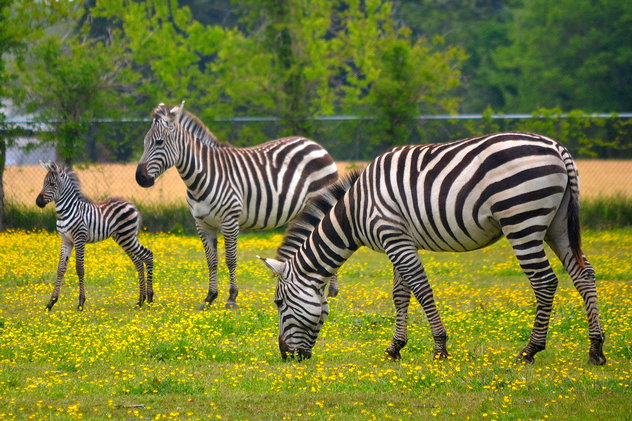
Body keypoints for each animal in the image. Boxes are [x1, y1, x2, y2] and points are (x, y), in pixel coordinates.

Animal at [35, 161, 154, 308]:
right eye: (43, 183)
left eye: (52, 184)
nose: (38, 202)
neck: (66, 211)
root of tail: (131, 205)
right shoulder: (66, 241)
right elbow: (61, 269)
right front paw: (51, 303)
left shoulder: (79, 238)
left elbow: (79, 268)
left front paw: (81, 303)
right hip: (123, 238)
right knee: (138, 262)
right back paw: (140, 301)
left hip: (127, 237)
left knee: (148, 255)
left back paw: (149, 298)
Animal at [136, 101, 338, 308]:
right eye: (144, 143)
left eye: (159, 143)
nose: (140, 178)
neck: (201, 176)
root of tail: (312, 143)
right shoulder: (202, 223)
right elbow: (211, 261)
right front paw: (209, 297)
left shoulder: (230, 220)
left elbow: (230, 260)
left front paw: (232, 298)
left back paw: (330, 291)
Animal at [258, 132, 608, 364]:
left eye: (278, 303)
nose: (286, 356)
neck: (355, 211)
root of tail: (557, 148)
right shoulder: (398, 240)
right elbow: (400, 294)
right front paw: (395, 348)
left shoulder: (394, 237)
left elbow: (421, 289)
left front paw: (439, 347)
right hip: (557, 225)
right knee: (584, 275)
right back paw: (596, 349)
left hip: (522, 220)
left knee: (545, 282)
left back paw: (530, 350)